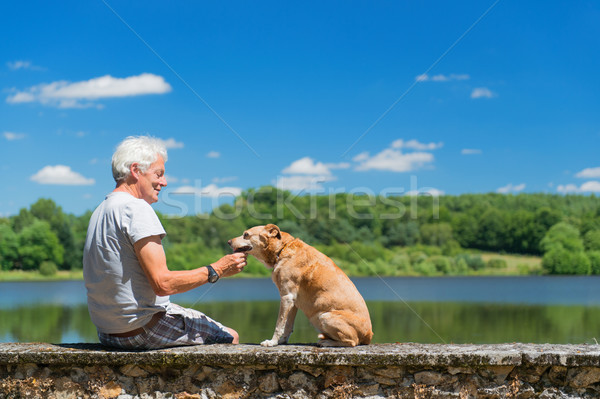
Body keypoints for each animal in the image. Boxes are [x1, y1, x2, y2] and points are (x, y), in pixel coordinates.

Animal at [227, 225, 372, 346]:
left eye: (246, 234)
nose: (228, 241)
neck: (281, 249)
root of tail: (368, 335)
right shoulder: (293, 302)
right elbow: (288, 326)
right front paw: (282, 341)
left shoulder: (286, 297)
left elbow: (279, 324)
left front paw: (272, 342)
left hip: (324, 316)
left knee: (352, 341)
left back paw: (327, 342)